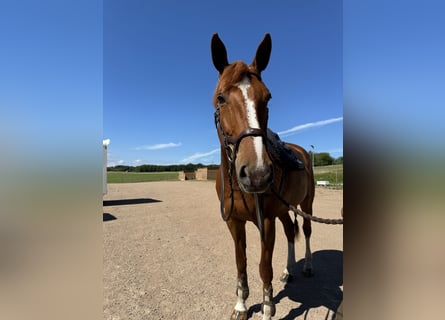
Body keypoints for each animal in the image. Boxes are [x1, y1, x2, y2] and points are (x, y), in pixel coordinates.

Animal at [210, 33, 314, 320]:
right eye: (221, 98)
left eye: (267, 98)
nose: (257, 174)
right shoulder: (234, 222)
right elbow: (241, 263)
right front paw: (241, 305)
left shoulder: (265, 221)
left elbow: (263, 267)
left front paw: (267, 308)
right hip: (284, 209)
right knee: (290, 232)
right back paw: (288, 272)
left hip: (306, 204)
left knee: (306, 230)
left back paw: (307, 267)